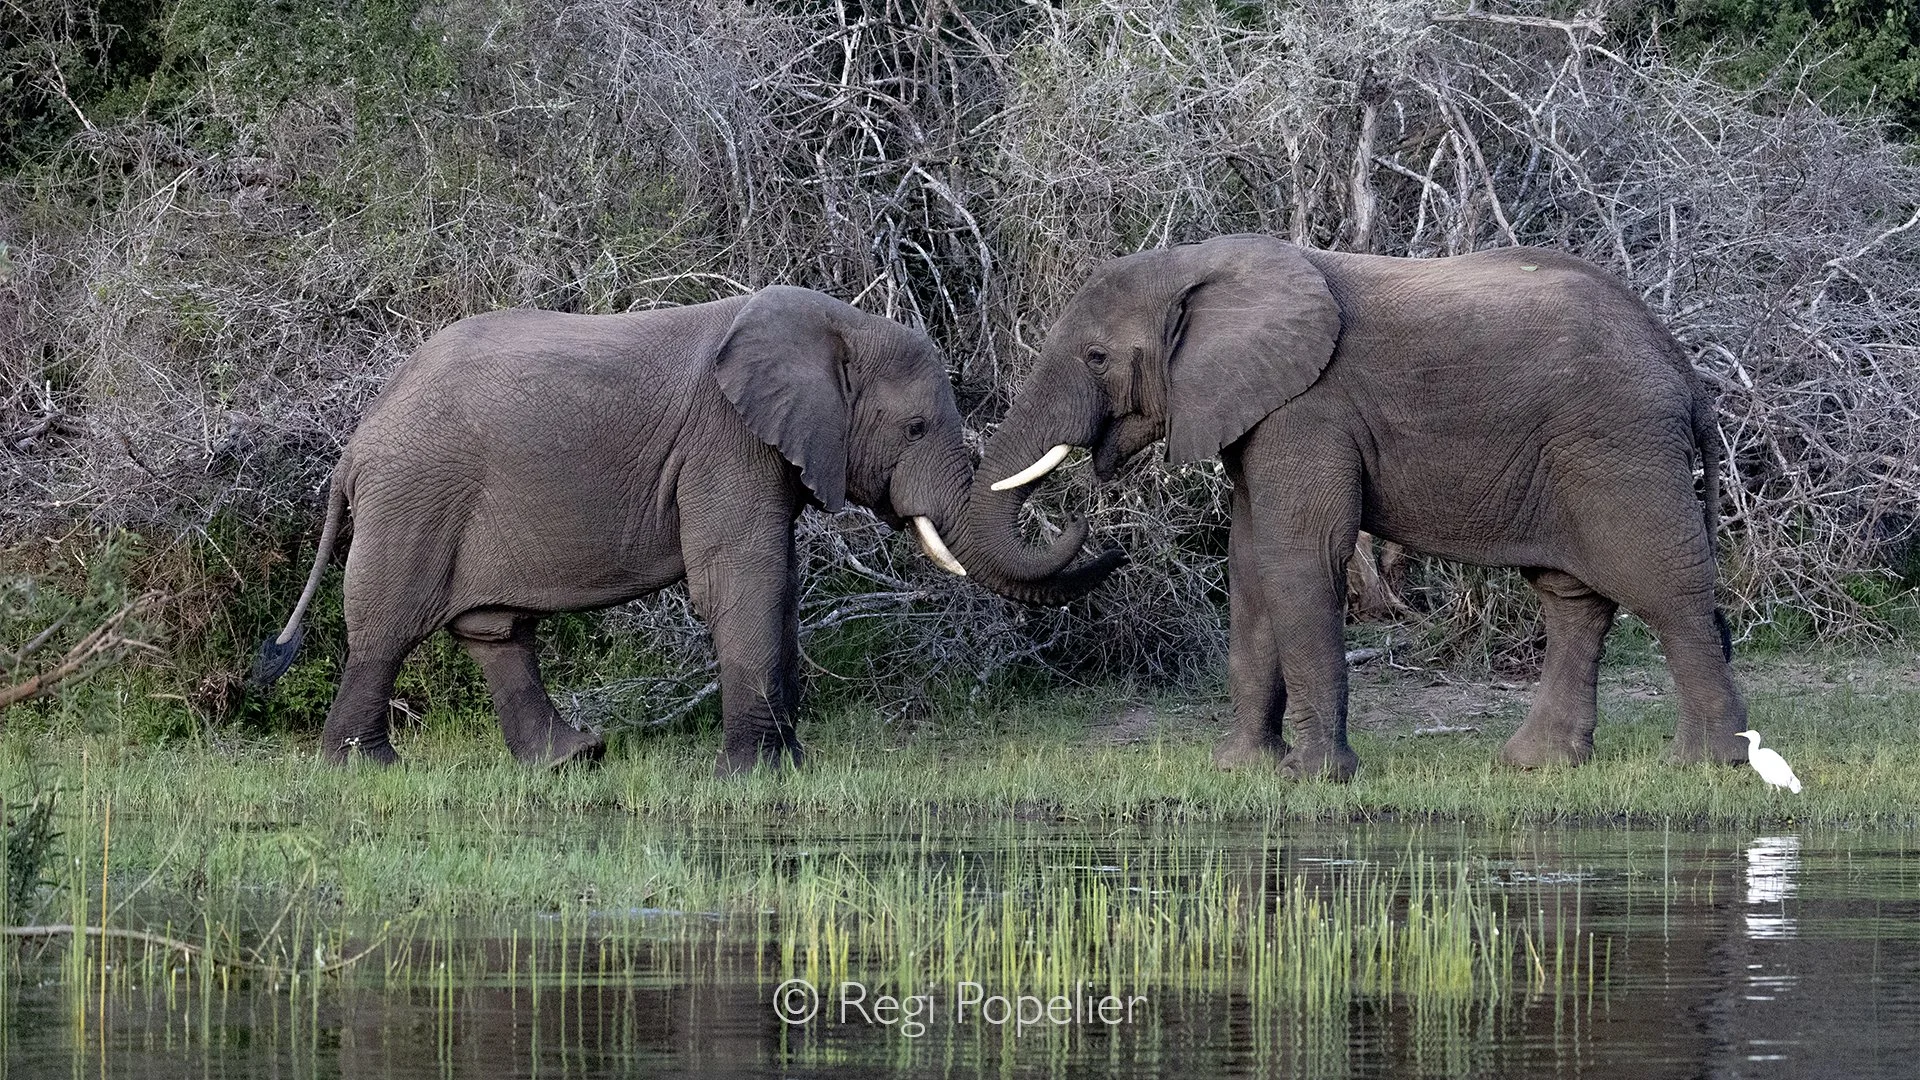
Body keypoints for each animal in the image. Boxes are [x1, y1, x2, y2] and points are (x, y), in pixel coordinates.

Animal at [252, 286, 1119, 774]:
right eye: (913, 429)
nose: (1099, 527)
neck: (833, 326)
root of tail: (356, 444)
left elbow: (777, 584)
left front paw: (789, 766)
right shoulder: (726, 441)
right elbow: (744, 579)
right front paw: (752, 777)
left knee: (495, 631)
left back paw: (572, 762)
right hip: (415, 497)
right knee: (388, 627)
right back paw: (363, 772)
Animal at [968, 235, 1750, 780]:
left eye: (1096, 357)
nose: (1098, 532)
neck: (1201, 265)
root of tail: (1683, 368)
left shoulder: (1308, 409)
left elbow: (1300, 557)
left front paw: (1313, 779)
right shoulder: (1260, 413)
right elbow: (1250, 567)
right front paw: (1242, 770)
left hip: (1620, 443)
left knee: (1667, 590)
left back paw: (1707, 765)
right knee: (1571, 598)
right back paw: (1535, 764)